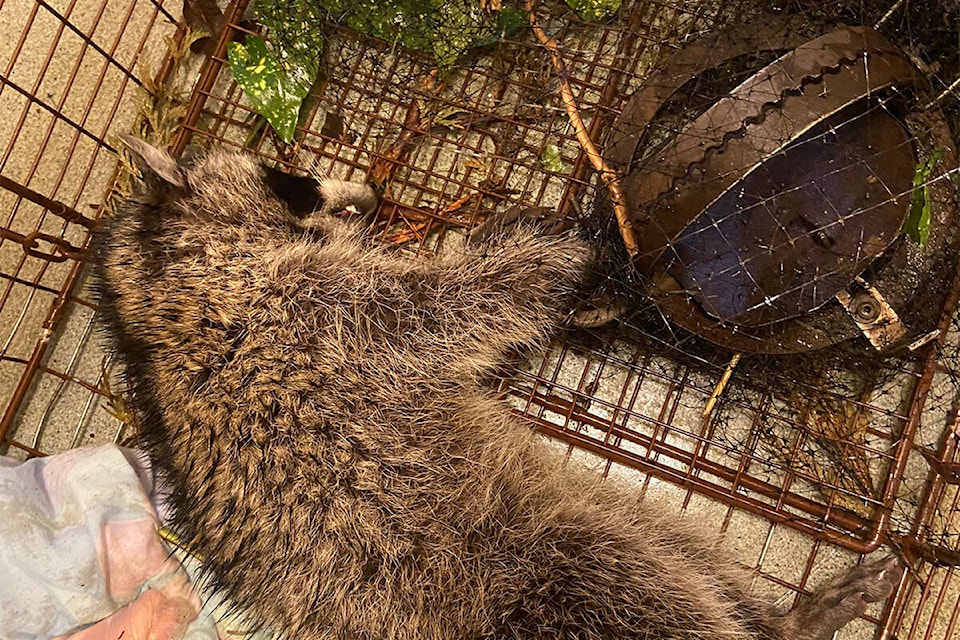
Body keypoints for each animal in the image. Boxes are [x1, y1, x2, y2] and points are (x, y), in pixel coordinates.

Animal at [94, 139, 904, 640]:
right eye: (290, 181)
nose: (374, 192)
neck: (163, 291)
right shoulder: (301, 317)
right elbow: (445, 307)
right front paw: (539, 260)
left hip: (577, 506)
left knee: (672, 541)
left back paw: (777, 617)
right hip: (527, 576)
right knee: (628, 588)